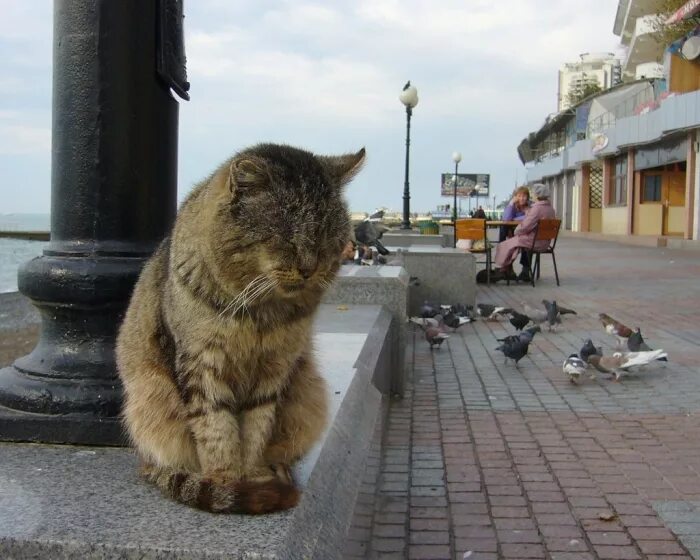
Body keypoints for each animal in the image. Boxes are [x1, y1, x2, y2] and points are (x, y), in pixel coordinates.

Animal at [115, 142, 366, 516]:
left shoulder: (274, 369)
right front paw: (226, 479)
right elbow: (215, 427)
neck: (262, 313)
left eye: (326, 242)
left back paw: (278, 468)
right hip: (148, 401)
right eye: (286, 240)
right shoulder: (200, 365)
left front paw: (254, 473)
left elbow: (257, 428)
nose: (309, 269)